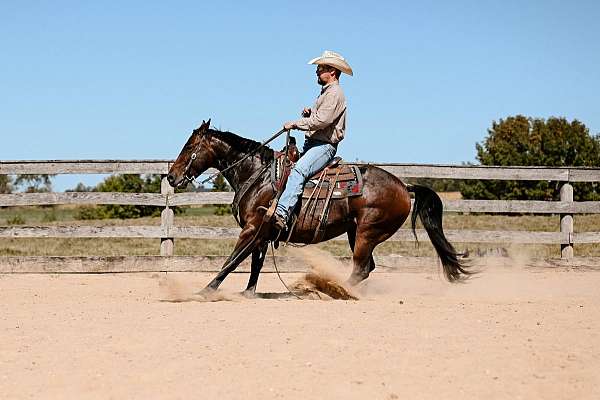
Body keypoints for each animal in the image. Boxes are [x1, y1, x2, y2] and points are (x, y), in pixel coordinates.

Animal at [166, 119, 472, 294]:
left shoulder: (252, 229)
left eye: (189, 146)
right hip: (356, 233)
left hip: (368, 232)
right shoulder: (262, 233)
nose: (171, 176)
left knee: (361, 268)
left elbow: (232, 260)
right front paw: (247, 293)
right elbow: (254, 264)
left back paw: (333, 289)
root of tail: (403, 186)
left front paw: (205, 291)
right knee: (366, 268)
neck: (258, 175)